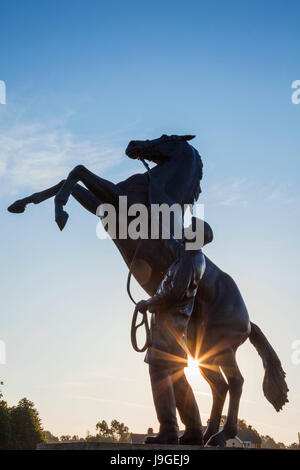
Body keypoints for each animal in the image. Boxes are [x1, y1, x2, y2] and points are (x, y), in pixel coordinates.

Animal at [7, 134, 288, 446]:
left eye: (166, 137)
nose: (132, 145)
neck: (159, 190)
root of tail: (248, 320)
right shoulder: (104, 205)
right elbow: (68, 180)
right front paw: (20, 203)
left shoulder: (118, 198)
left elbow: (78, 171)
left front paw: (59, 212)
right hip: (202, 349)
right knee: (219, 386)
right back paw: (202, 435)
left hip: (222, 349)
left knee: (236, 383)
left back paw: (220, 435)